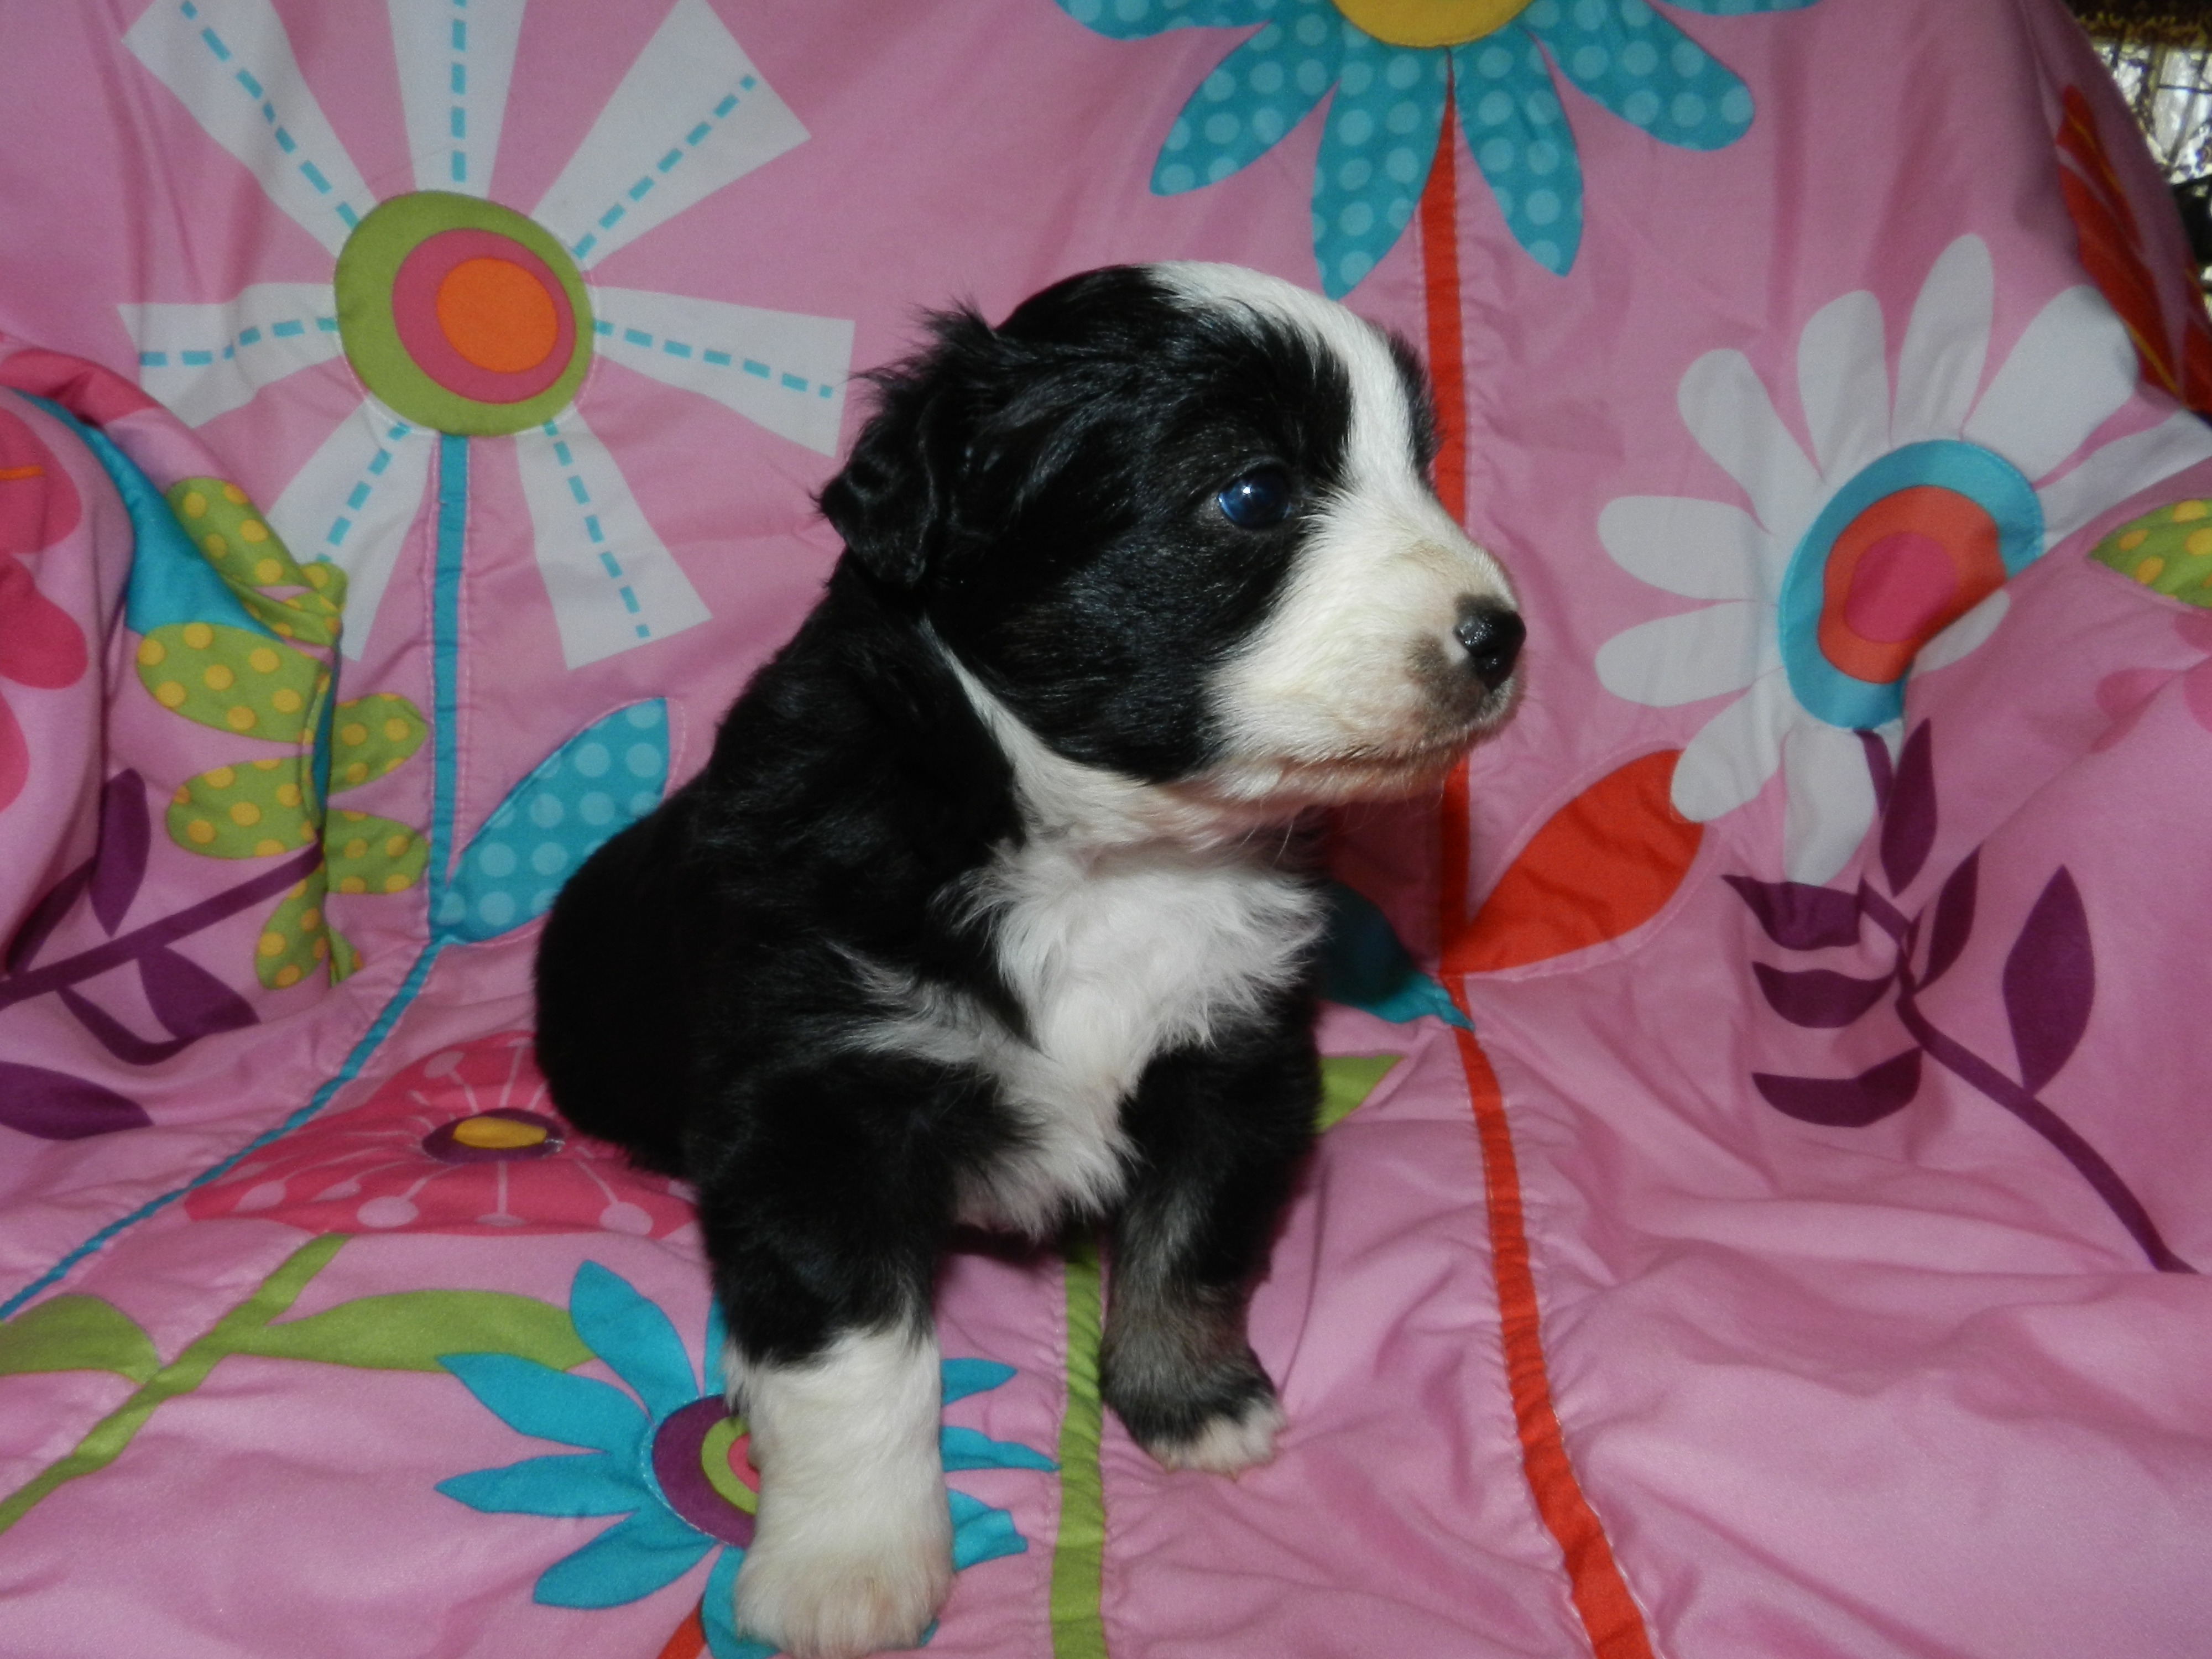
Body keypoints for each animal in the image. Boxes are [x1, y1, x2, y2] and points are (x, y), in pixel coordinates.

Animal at [533, 261, 1522, 1658]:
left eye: (1421, 468)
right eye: (1253, 493)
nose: (1499, 634)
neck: (1103, 853)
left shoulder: (1234, 1051)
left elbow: (1192, 1240)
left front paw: (1192, 1397)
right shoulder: (817, 1092)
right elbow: (849, 1348)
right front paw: (847, 1566)